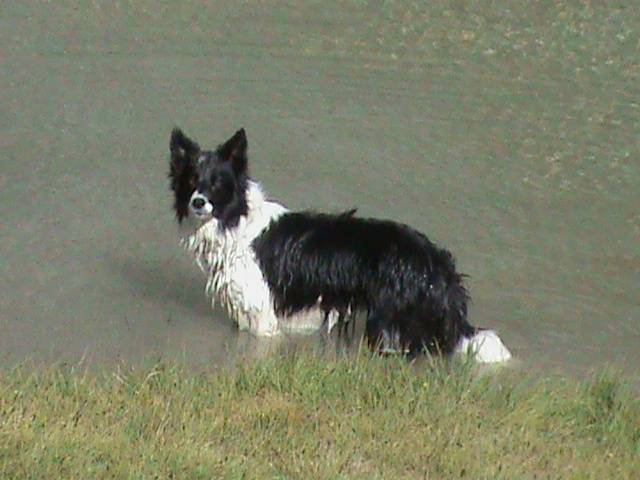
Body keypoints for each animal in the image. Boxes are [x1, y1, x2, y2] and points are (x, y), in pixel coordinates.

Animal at [169, 128, 511, 362]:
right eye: (191, 180)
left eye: (218, 182)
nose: (197, 202)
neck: (236, 221)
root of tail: (436, 263)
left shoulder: (263, 314)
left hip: (388, 320)